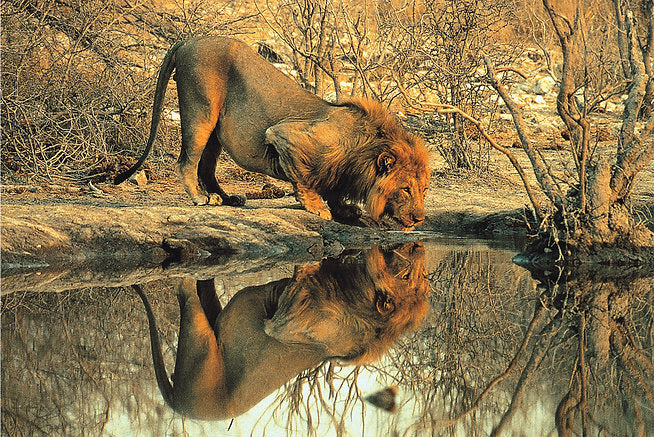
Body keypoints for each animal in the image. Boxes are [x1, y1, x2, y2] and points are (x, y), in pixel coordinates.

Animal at [115, 37, 429, 229]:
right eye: (405, 189)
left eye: (424, 190)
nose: (419, 218)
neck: (362, 149)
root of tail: (187, 40)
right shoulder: (285, 134)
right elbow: (305, 178)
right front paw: (317, 208)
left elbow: (333, 188)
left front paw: (346, 209)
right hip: (200, 111)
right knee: (186, 163)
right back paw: (201, 198)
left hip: (216, 129)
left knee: (206, 167)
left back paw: (227, 198)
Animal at [134, 242, 429, 420]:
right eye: (408, 276)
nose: (417, 247)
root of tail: (178, 405)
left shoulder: (288, 315)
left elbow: (290, 301)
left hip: (199, 344)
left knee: (187, 292)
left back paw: (183, 265)